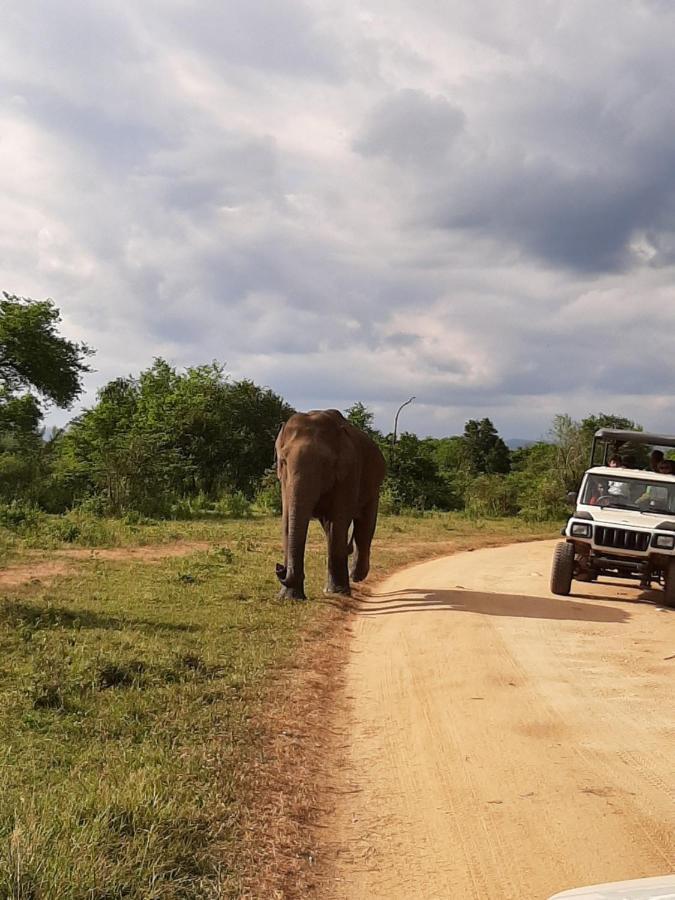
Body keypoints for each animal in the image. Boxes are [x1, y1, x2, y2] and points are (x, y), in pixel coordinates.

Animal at [276, 408, 386, 596]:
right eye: (283, 461)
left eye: (325, 463)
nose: (280, 569)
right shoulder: (284, 480)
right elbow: (287, 520)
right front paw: (287, 597)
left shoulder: (349, 472)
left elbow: (339, 519)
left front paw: (339, 592)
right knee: (330, 527)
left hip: (374, 485)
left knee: (364, 525)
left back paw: (356, 576)